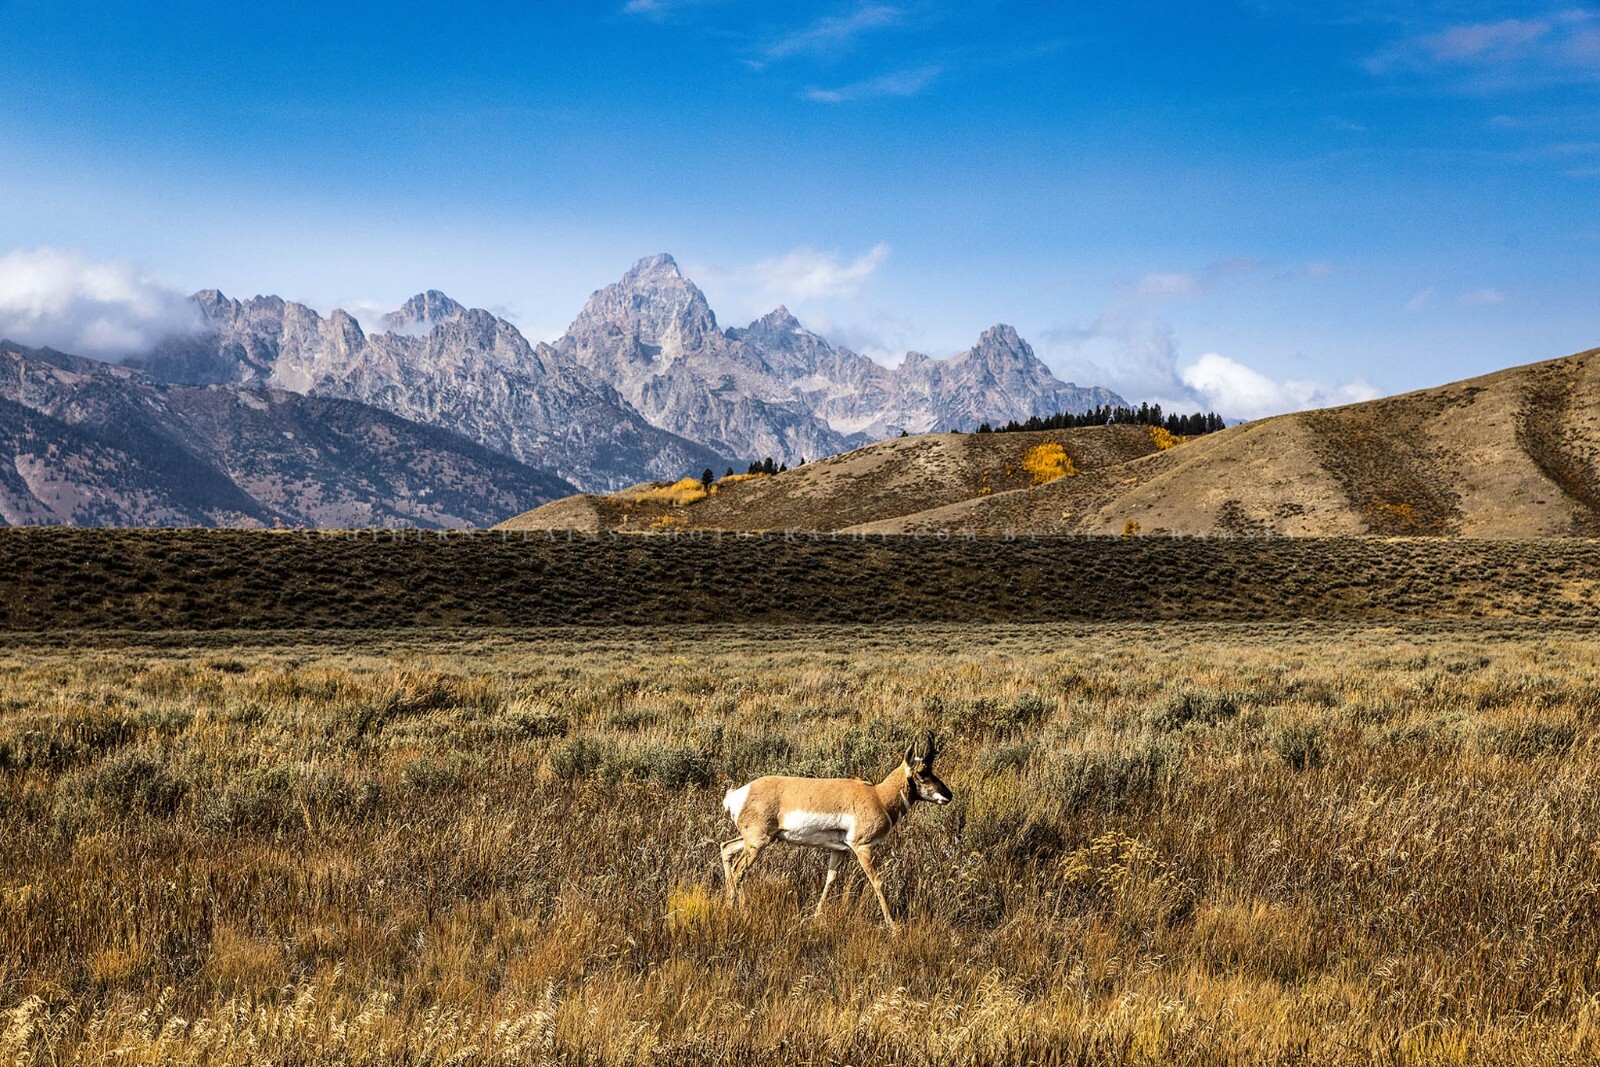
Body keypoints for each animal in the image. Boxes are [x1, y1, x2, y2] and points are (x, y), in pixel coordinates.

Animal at [719, 732, 951, 928]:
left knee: (726, 848)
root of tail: (738, 793)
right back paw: (742, 912)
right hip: (758, 842)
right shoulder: (862, 847)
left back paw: (732, 906)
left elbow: (829, 880)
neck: (878, 796)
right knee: (739, 871)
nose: (949, 795)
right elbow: (877, 881)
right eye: (922, 772)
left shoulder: (839, 850)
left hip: (757, 840)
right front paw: (893, 926)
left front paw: (816, 916)